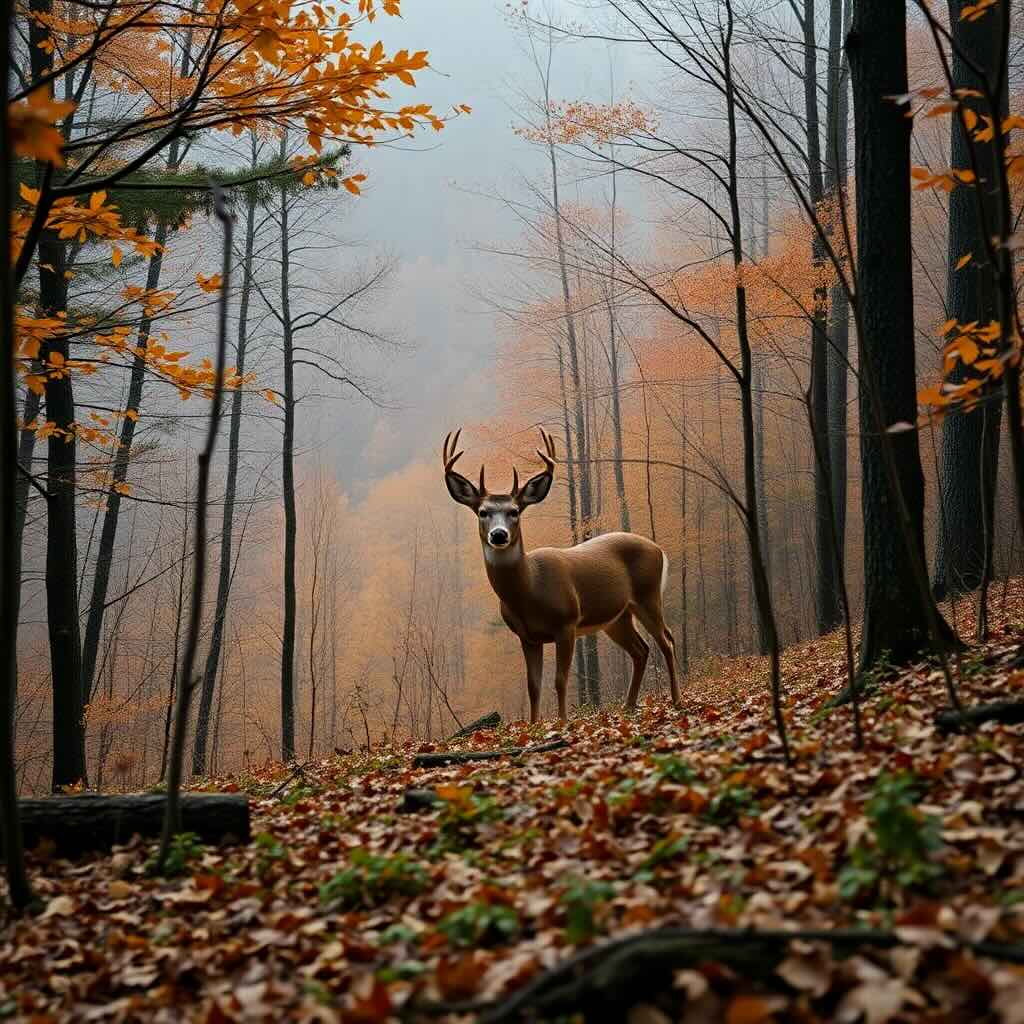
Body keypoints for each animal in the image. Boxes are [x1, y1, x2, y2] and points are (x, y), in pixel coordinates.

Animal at [443, 427, 680, 723]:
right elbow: (533, 685)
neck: (529, 590)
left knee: (667, 640)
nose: (498, 535)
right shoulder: (527, 636)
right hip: (617, 617)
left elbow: (560, 679)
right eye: (483, 512)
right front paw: (534, 726)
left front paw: (563, 721)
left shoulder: (566, 623)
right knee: (641, 650)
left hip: (648, 596)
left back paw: (676, 700)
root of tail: (659, 549)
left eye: (514, 512)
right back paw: (628, 706)